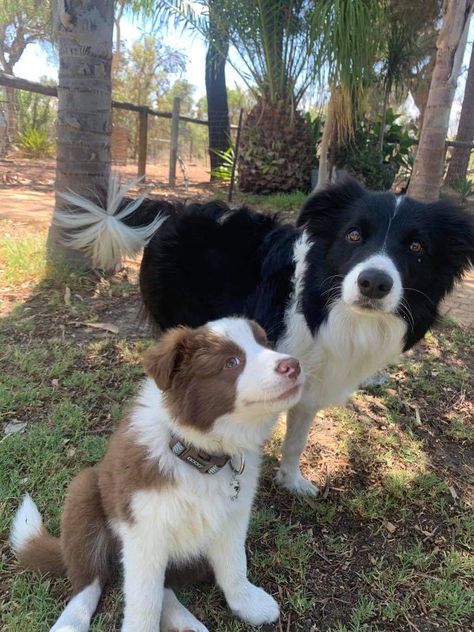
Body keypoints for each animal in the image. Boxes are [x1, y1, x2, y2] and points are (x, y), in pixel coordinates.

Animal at [12, 318, 306, 632]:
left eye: (266, 344)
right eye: (231, 362)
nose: (293, 365)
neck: (196, 453)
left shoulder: (233, 516)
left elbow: (234, 564)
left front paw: (248, 602)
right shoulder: (144, 530)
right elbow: (144, 598)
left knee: (165, 586)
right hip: (84, 494)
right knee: (89, 580)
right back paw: (71, 622)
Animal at [57, 177, 472, 494]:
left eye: (416, 247)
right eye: (353, 235)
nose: (374, 283)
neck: (327, 310)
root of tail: (175, 210)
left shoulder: (310, 383)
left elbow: (296, 440)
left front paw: (291, 481)